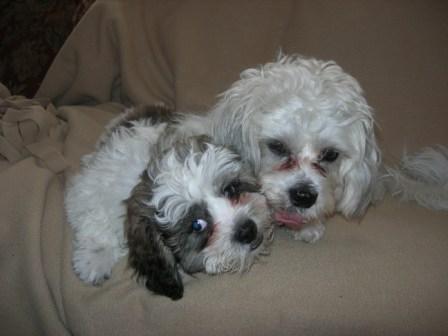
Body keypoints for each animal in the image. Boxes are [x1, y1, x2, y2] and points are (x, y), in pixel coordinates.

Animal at [65, 105, 272, 300]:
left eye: (230, 189)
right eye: (197, 225)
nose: (247, 230)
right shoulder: (89, 187)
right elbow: (94, 215)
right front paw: (95, 257)